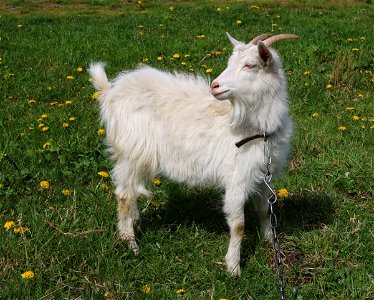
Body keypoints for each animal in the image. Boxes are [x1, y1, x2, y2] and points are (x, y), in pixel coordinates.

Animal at [87, 32, 298, 274]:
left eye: (249, 65)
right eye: (230, 62)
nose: (215, 86)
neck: (258, 129)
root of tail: (110, 92)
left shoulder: (263, 177)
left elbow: (265, 212)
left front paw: (270, 243)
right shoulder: (236, 178)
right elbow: (238, 225)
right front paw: (233, 267)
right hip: (133, 153)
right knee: (124, 195)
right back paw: (131, 243)